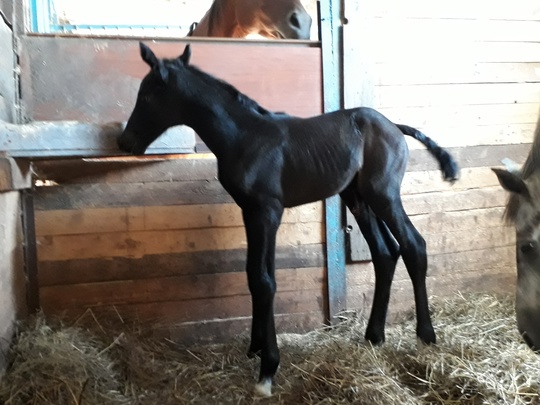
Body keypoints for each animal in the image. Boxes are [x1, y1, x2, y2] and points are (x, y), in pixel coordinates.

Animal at [117, 42, 460, 396]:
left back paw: (425, 336)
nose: (125, 142)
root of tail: (394, 126)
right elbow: (255, 274)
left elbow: (264, 280)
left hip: (384, 194)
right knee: (385, 253)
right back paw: (374, 336)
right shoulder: (250, 211)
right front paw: (255, 348)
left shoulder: (267, 211)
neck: (244, 136)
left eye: (147, 95)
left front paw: (267, 369)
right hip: (358, 198)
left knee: (413, 245)